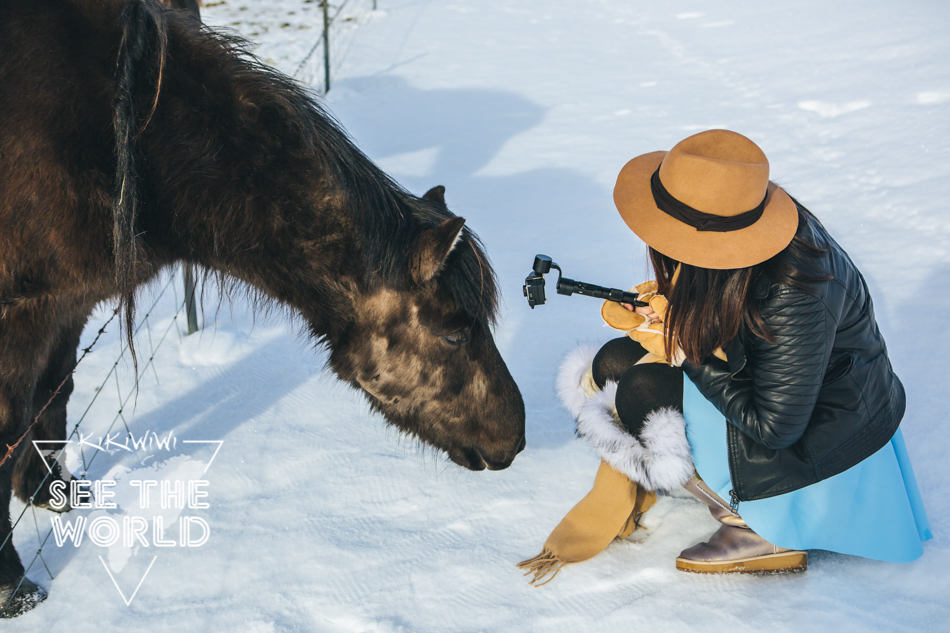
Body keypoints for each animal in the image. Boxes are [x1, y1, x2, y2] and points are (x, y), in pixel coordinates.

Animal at [0, 0, 524, 612]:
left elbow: (55, 392)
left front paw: (50, 494)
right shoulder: (24, 311)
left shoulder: (66, 300)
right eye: (454, 332)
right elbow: (10, 426)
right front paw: (15, 587)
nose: (516, 439)